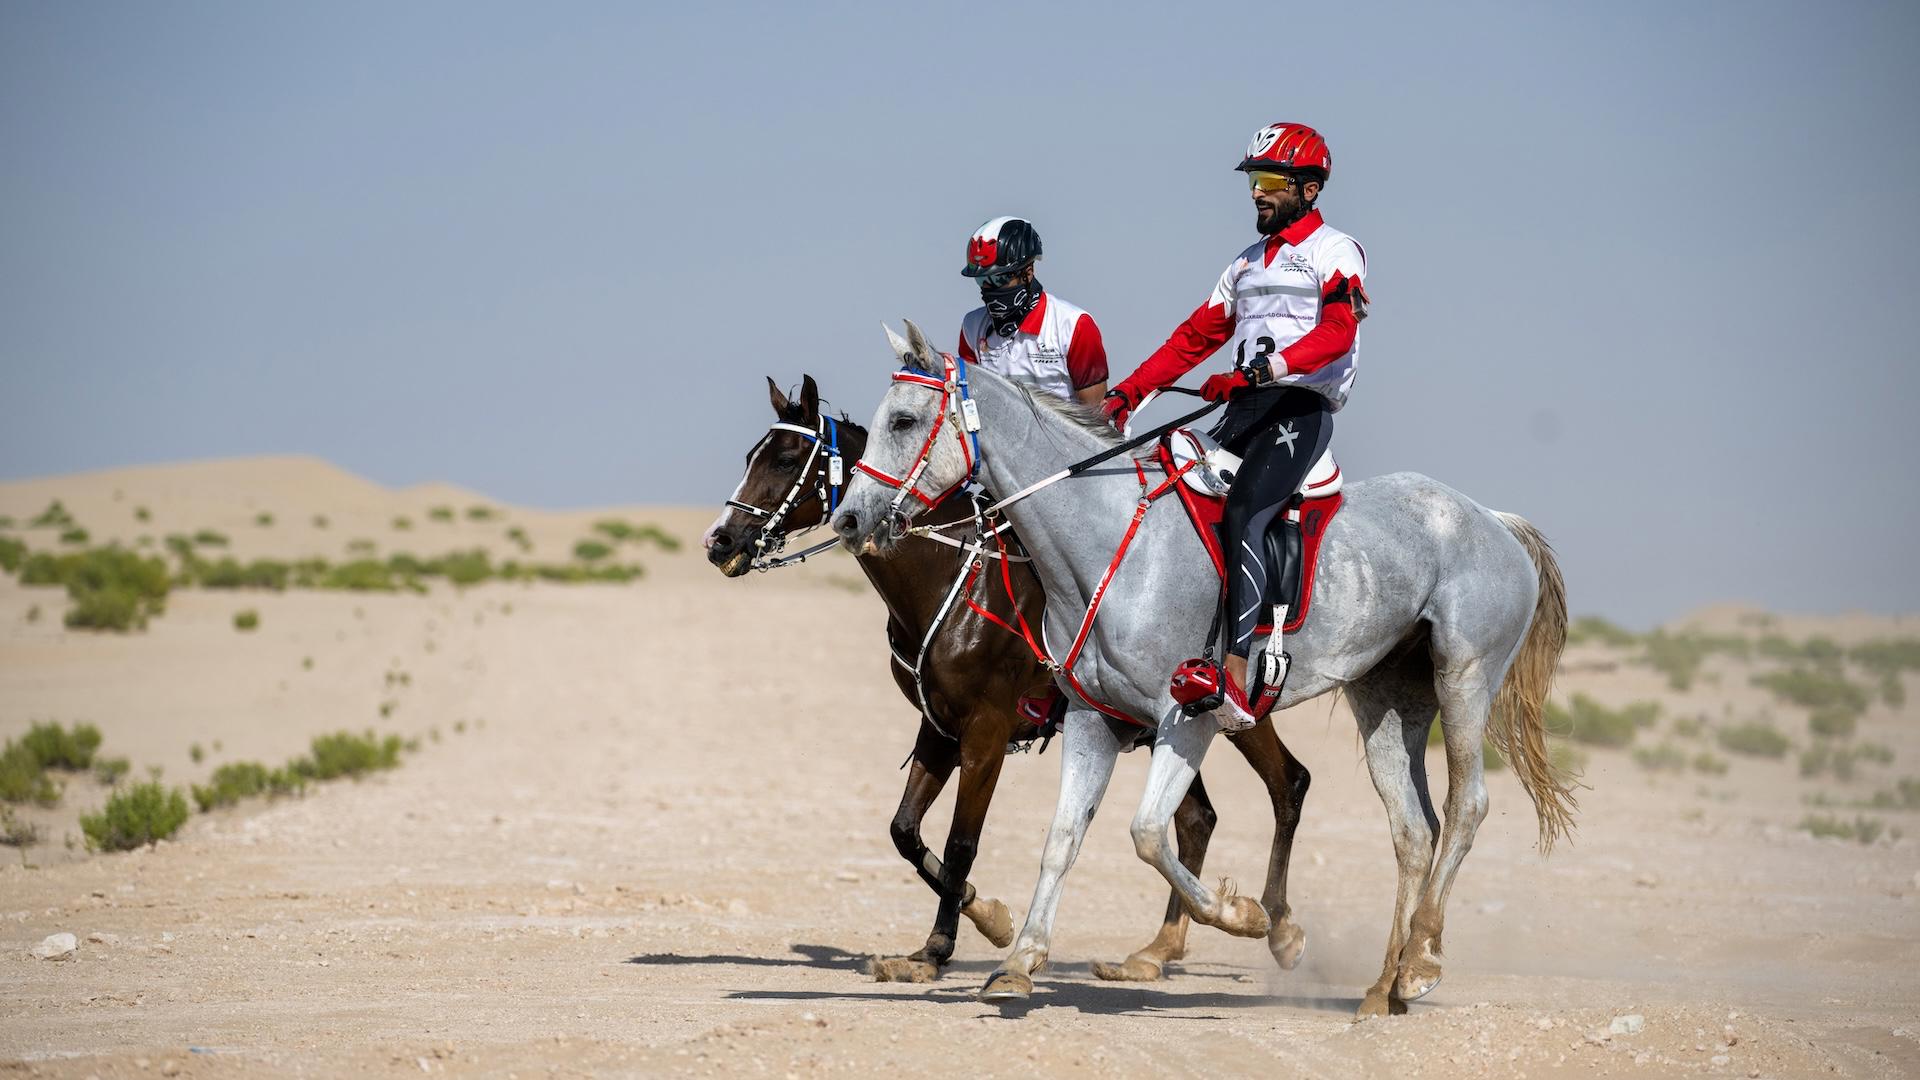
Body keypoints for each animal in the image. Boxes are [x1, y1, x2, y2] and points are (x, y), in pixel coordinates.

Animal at [706, 374, 1320, 980]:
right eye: (752, 455)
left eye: (787, 459)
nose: (720, 540)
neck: (952, 577)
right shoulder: (940, 727)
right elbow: (905, 831)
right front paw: (980, 918)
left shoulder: (987, 730)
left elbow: (962, 840)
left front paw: (946, 944)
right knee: (1196, 819)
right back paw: (1159, 950)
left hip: (1225, 711)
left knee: (1288, 783)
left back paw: (1279, 929)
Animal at [829, 320, 1574, 1014]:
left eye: (903, 420)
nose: (849, 518)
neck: (1110, 544)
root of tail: (1494, 522)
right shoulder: (1091, 721)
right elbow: (1063, 839)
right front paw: (1019, 962)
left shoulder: (1181, 719)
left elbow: (1145, 833)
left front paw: (1245, 917)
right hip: (1388, 700)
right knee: (1412, 830)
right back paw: (1381, 988)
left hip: (1462, 679)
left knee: (1462, 806)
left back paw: (1417, 960)